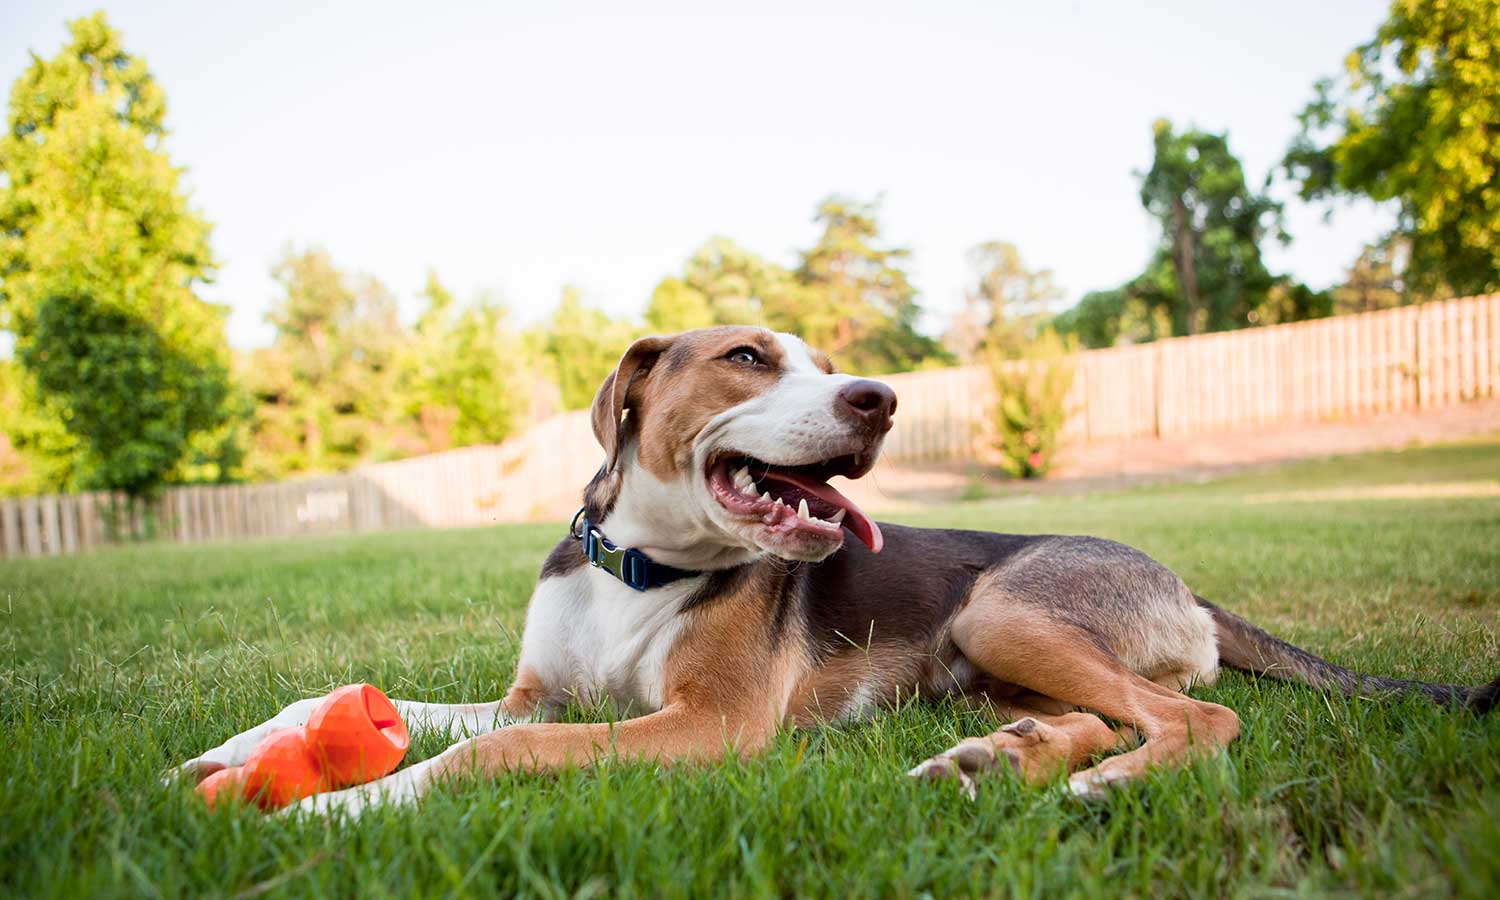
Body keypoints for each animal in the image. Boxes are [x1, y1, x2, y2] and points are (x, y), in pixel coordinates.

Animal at [178, 327, 1500, 810]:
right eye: (749, 358)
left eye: (824, 363)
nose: (882, 398)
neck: (640, 570)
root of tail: (1183, 580)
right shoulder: (538, 696)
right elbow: (371, 701)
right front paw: (244, 750)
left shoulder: (703, 728)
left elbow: (479, 755)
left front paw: (344, 803)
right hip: (993, 656)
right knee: (1109, 712)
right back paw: (1001, 758)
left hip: (1005, 606)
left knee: (1196, 717)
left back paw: (1100, 784)